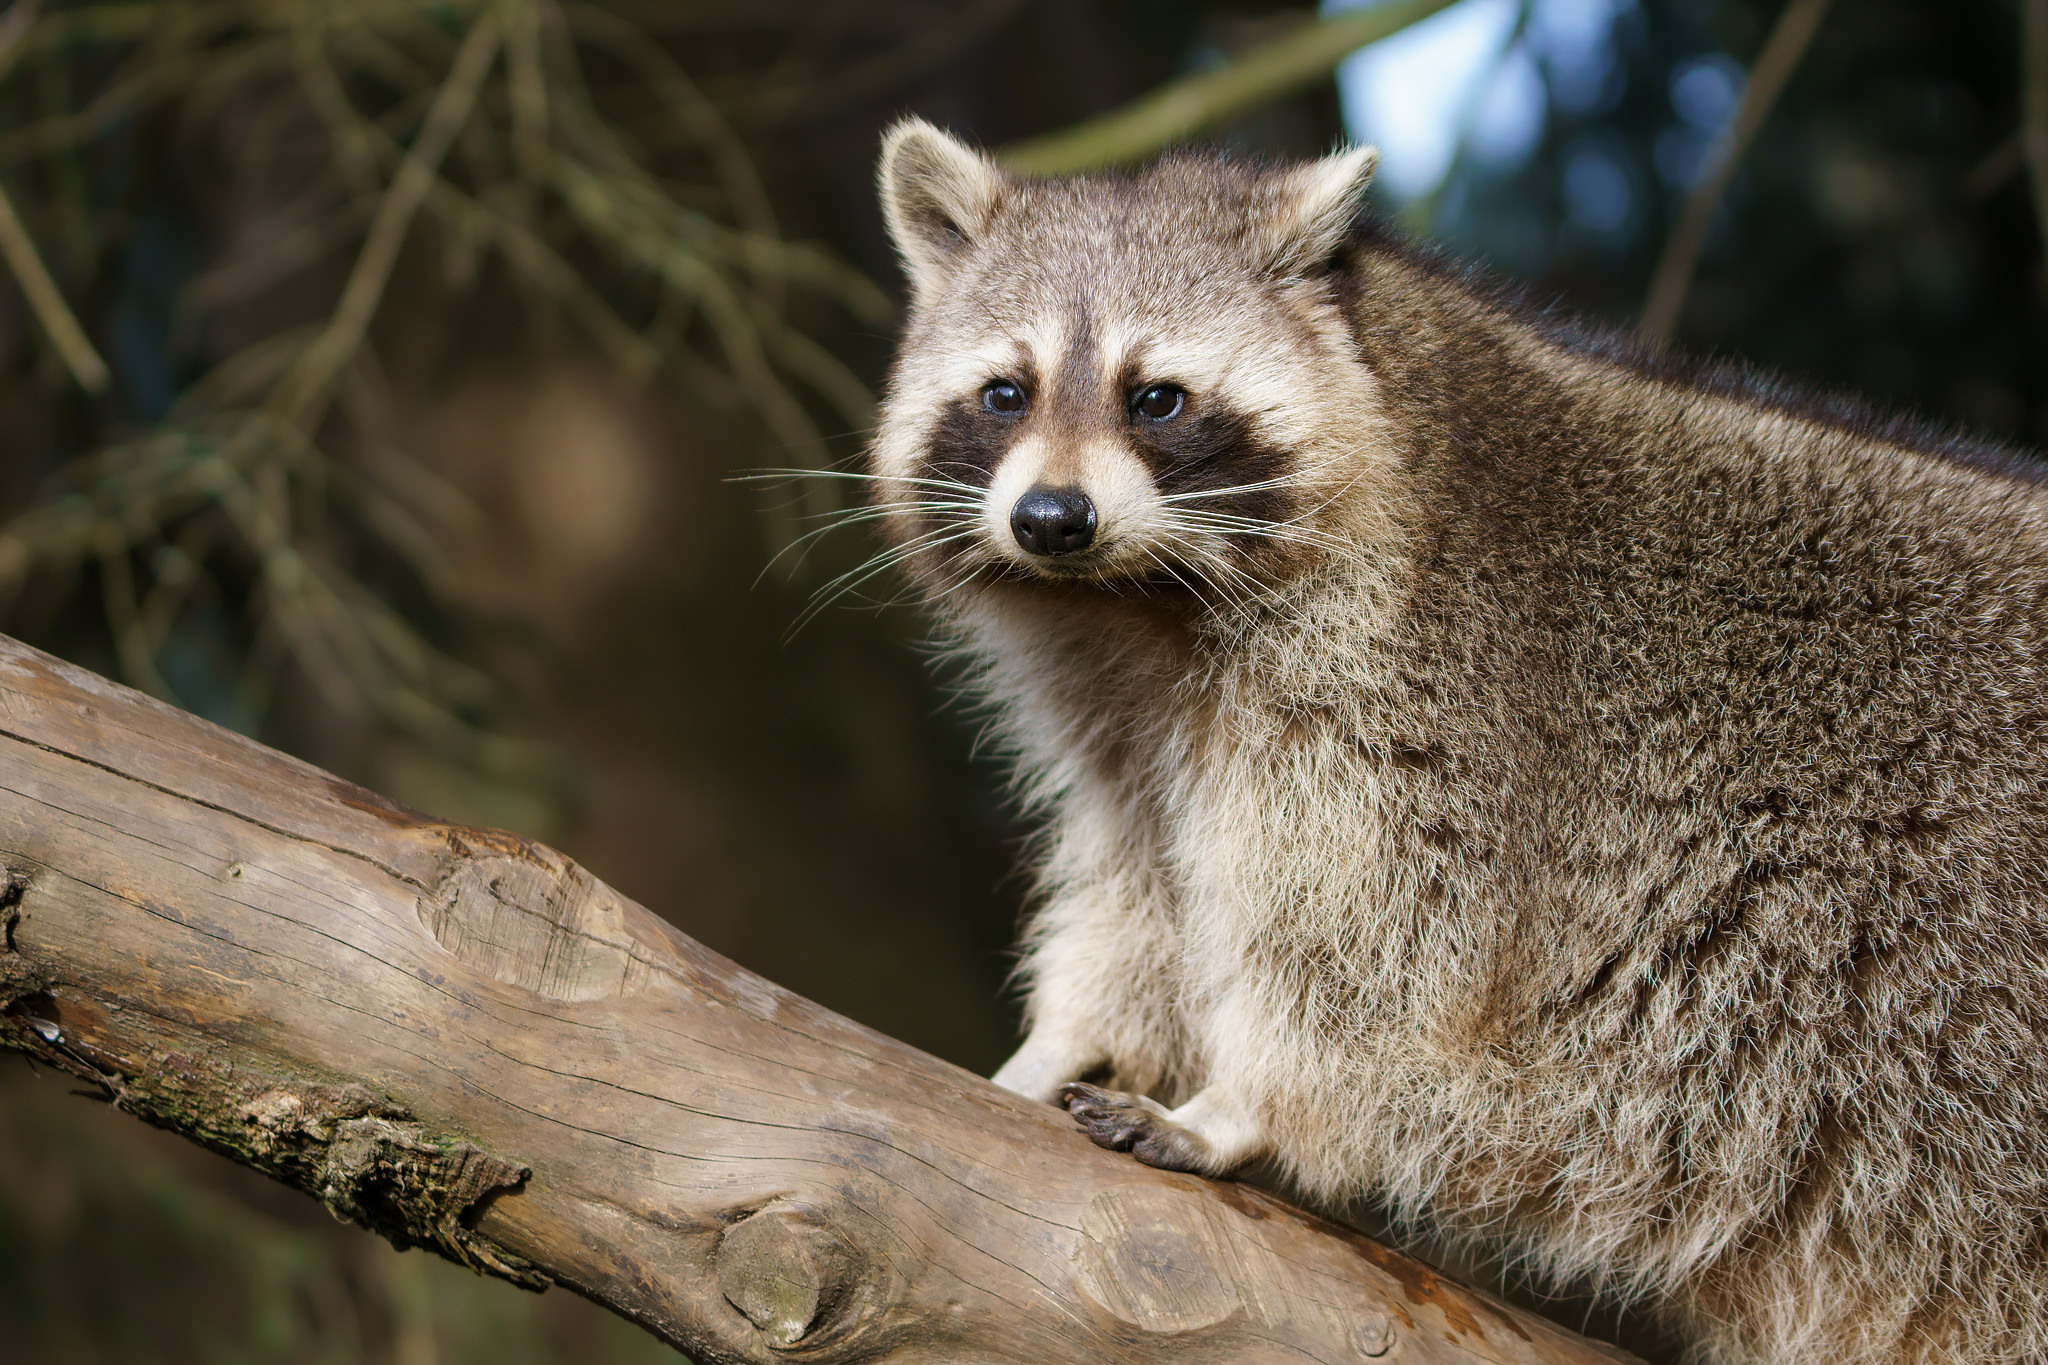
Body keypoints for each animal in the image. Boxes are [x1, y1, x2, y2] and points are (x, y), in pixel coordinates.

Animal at [872, 120, 2048, 1365]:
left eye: (1156, 399)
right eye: (1005, 392)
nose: (1052, 521)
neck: (1135, 604)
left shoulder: (1429, 704)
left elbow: (1378, 948)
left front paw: (1243, 1106)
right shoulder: (1132, 729)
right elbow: (1143, 892)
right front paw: (1070, 1035)